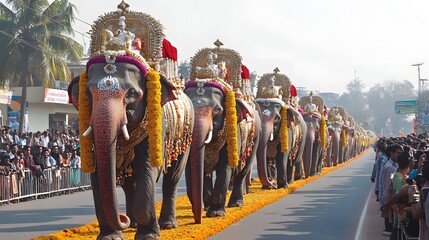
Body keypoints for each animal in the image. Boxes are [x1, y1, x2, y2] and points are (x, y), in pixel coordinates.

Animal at [68, 4, 192, 240]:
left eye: (132, 94)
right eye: (88, 94)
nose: (122, 217)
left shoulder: (157, 124)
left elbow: (148, 170)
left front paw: (148, 235)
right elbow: (97, 172)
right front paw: (111, 236)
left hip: (184, 140)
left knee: (172, 178)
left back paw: (166, 224)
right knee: (128, 182)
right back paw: (134, 222)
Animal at [182, 41, 260, 223]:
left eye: (217, 110)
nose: (197, 220)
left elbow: (225, 167)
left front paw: (216, 213)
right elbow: (194, 165)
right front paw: (206, 207)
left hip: (255, 138)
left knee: (242, 170)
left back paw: (236, 203)